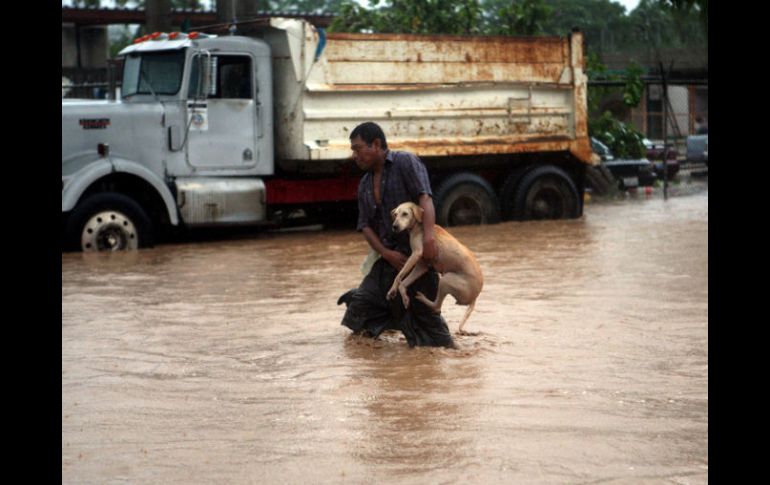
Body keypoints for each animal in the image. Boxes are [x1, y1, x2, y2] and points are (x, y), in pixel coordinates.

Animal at [388, 200, 484, 332]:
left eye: (405, 214)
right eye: (395, 214)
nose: (395, 226)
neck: (419, 226)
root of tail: (475, 296)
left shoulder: (416, 254)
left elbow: (398, 276)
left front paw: (392, 289)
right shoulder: (422, 265)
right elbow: (403, 283)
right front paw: (403, 297)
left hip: (445, 280)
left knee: (437, 306)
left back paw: (423, 299)